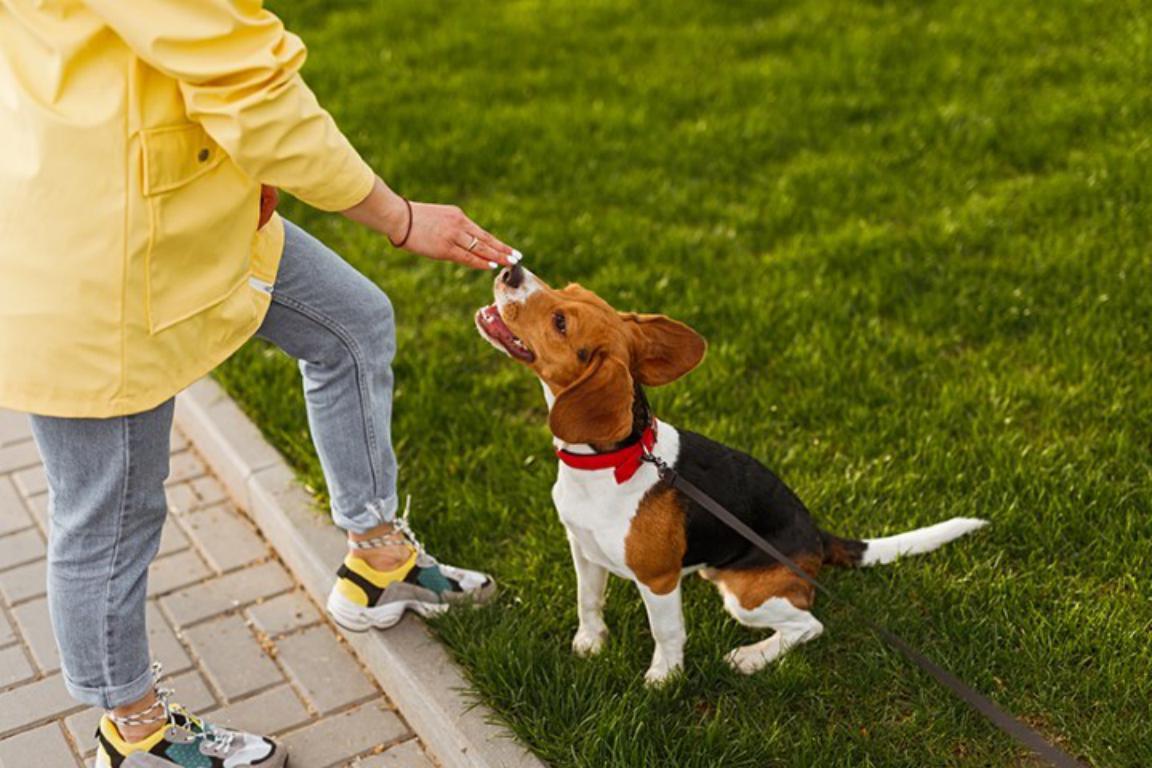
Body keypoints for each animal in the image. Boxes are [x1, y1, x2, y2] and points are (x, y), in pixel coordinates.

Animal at [472, 265, 986, 686]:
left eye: (560, 321)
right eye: (567, 289)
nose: (512, 270)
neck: (611, 462)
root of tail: (816, 535)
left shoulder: (658, 581)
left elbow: (667, 632)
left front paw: (664, 679)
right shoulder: (583, 549)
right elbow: (588, 600)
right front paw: (591, 642)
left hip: (747, 595)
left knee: (808, 624)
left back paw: (751, 657)